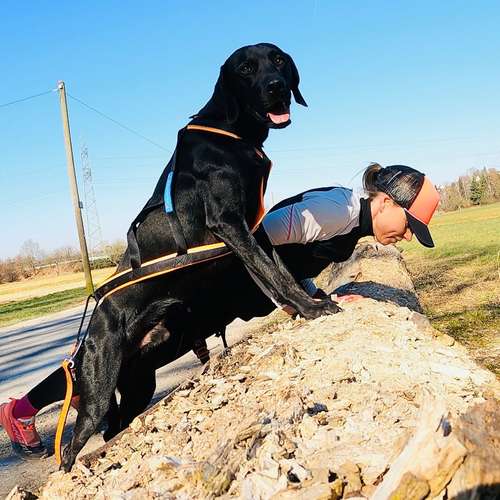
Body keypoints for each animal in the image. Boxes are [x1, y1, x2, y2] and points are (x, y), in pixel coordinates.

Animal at [60, 44, 338, 472]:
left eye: (278, 60)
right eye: (246, 68)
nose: (276, 87)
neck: (233, 134)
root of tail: (87, 338)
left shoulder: (253, 226)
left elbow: (276, 270)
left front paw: (305, 303)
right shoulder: (229, 223)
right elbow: (270, 272)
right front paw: (311, 309)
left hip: (139, 381)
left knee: (114, 430)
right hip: (99, 391)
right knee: (72, 447)